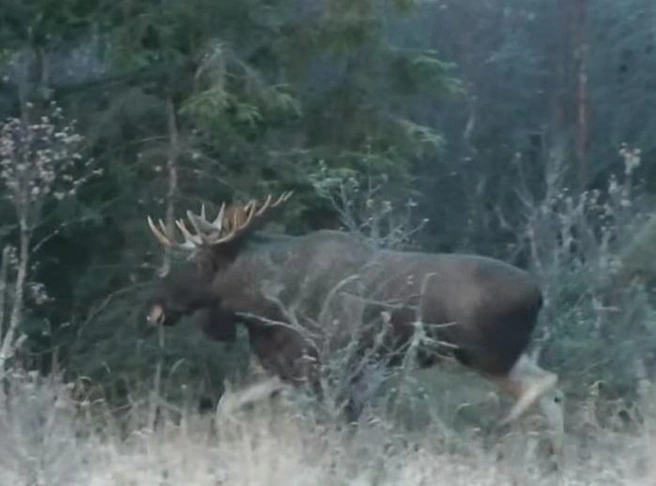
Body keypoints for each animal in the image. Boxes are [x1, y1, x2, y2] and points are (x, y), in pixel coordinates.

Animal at [146, 192, 568, 446]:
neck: (264, 307)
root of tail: (540, 293)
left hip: (485, 354)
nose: (156, 304)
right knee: (551, 390)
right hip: (501, 355)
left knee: (545, 384)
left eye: (201, 262)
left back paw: (507, 424)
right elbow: (226, 404)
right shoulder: (290, 369)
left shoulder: (334, 365)